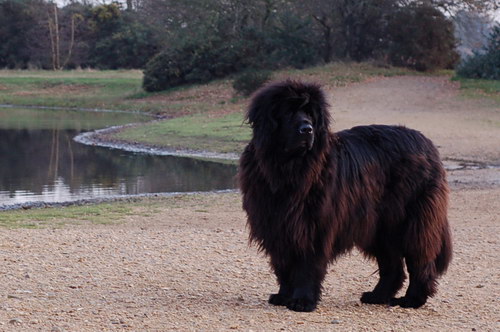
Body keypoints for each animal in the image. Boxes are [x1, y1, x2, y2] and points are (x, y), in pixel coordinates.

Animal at [239, 80, 454, 312]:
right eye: (288, 111)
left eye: (310, 114)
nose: (307, 129)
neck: (288, 167)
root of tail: (427, 144)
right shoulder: (276, 225)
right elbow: (283, 265)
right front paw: (283, 296)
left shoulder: (313, 226)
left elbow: (307, 265)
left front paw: (302, 301)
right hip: (379, 226)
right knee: (392, 266)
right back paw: (377, 295)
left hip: (413, 221)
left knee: (420, 260)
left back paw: (412, 299)